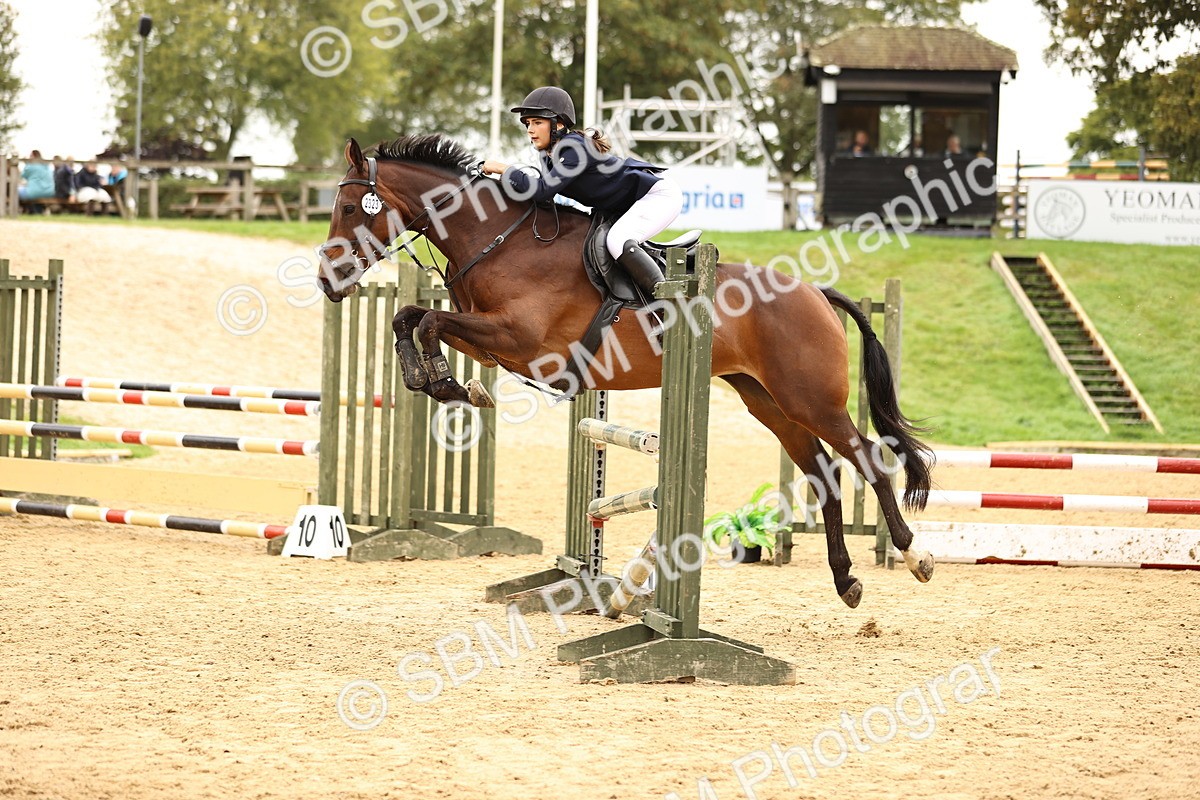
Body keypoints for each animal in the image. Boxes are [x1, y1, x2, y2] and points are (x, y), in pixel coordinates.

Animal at [319, 134, 935, 607]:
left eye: (348, 209)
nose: (327, 281)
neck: (497, 241)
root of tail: (815, 292)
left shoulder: (518, 339)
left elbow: (427, 322)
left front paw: (450, 384)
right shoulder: (493, 338)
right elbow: (408, 317)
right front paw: (430, 380)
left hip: (811, 400)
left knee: (868, 460)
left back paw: (914, 555)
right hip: (769, 403)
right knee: (824, 472)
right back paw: (846, 579)